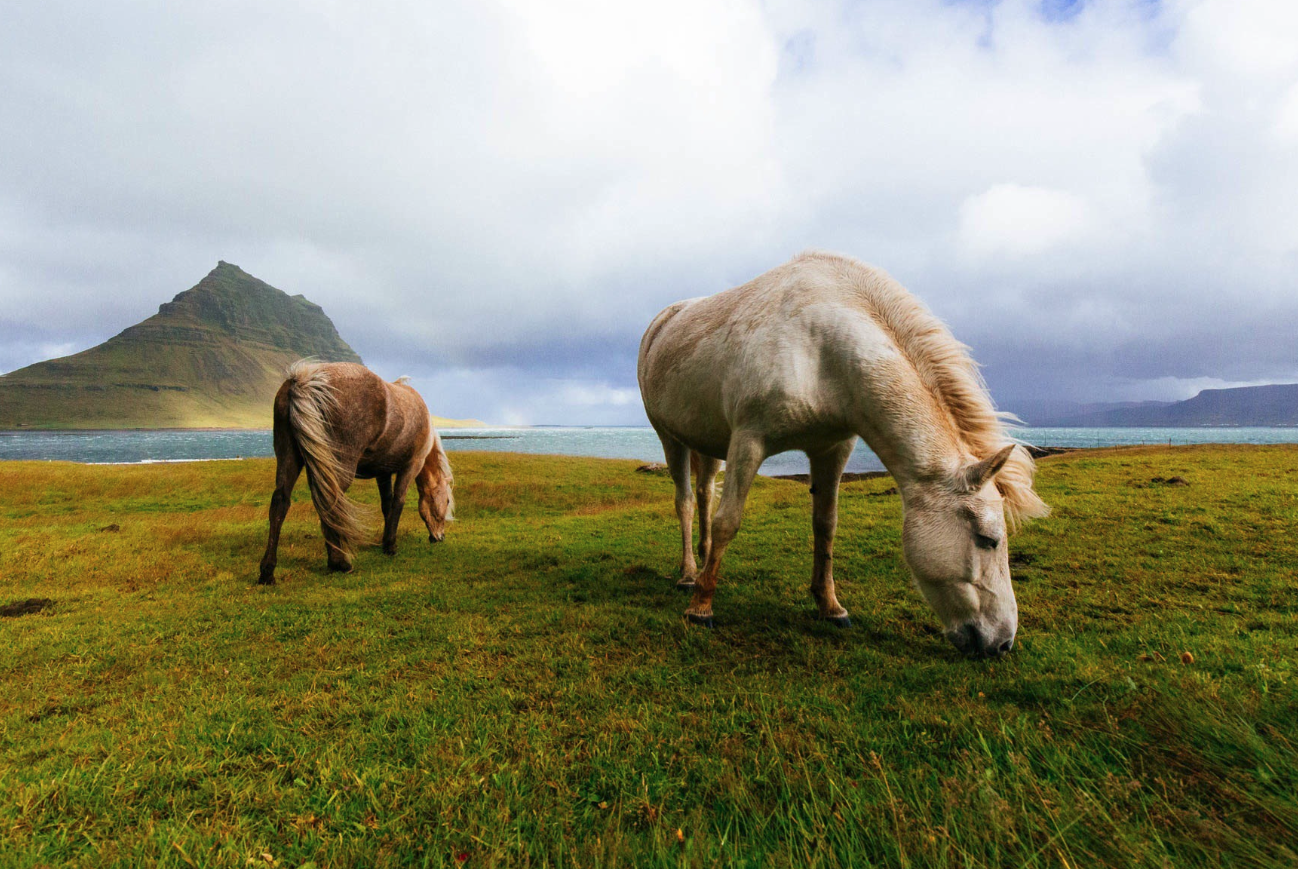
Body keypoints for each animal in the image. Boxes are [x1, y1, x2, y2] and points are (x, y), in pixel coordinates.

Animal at [255, 358, 454, 581]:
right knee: (330, 503)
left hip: (289, 457)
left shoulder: (383, 472)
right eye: (446, 501)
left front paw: (385, 541)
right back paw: (339, 563)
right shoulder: (411, 465)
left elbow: (387, 504)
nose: (439, 537)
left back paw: (267, 571)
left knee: (280, 502)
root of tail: (306, 379)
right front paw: (391, 546)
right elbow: (398, 502)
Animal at [638, 250, 1053, 657]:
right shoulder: (748, 441)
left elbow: (826, 527)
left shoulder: (832, 449)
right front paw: (701, 608)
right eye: (988, 539)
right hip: (670, 437)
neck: (820, 349)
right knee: (686, 501)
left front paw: (830, 607)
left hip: (708, 443)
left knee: (705, 493)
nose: (1002, 642)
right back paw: (689, 575)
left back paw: (703, 560)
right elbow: (729, 521)